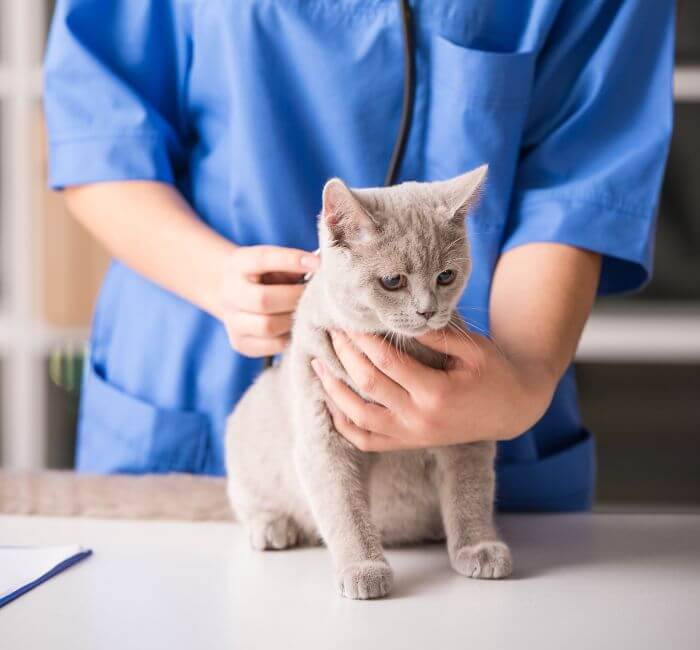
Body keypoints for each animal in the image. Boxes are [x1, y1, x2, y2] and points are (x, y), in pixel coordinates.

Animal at [227, 166, 512, 596]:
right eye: (393, 281)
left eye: (446, 276)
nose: (427, 311)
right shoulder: (322, 431)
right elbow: (344, 508)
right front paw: (363, 568)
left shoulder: (466, 427)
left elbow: (469, 493)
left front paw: (479, 548)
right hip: (246, 426)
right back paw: (271, 525)